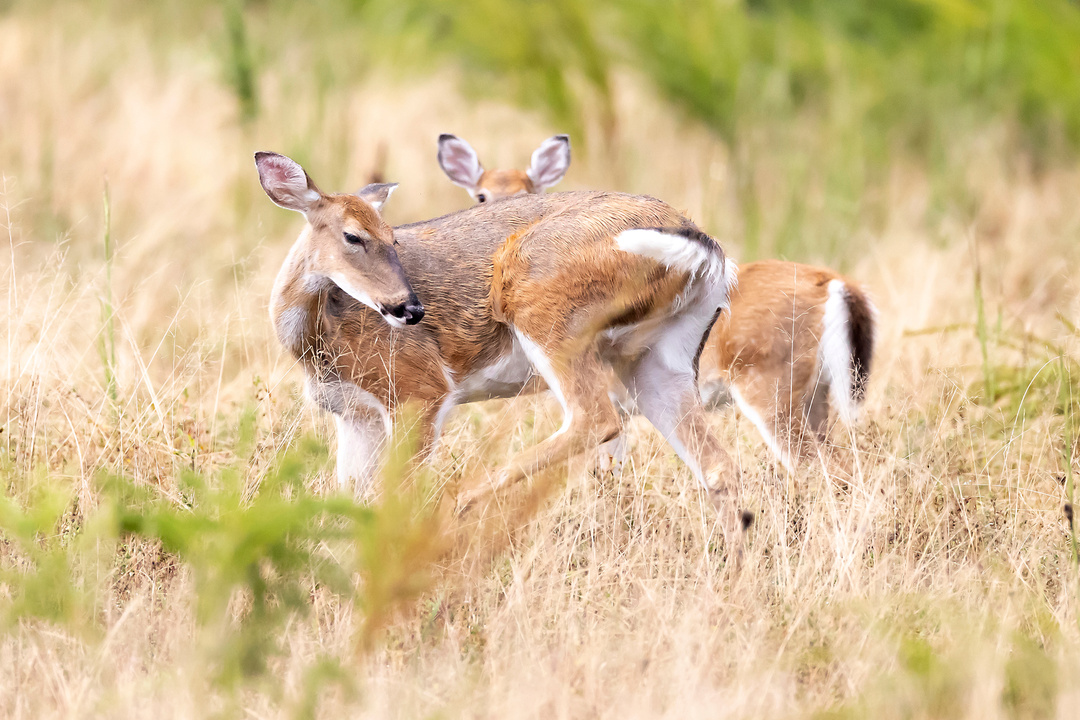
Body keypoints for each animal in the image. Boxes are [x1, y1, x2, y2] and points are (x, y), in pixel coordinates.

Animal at [259, 152, 751, 544]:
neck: (319, 340)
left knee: (596, 418)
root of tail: (706, 247)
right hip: (658, 359)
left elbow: (393, 499)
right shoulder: (355, 414)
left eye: (393, 237)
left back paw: (463, 500)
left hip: (543, 306)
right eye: (353, 236)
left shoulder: (421, 391)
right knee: (718, 466)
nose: (410, 308)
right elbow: (349, 503)